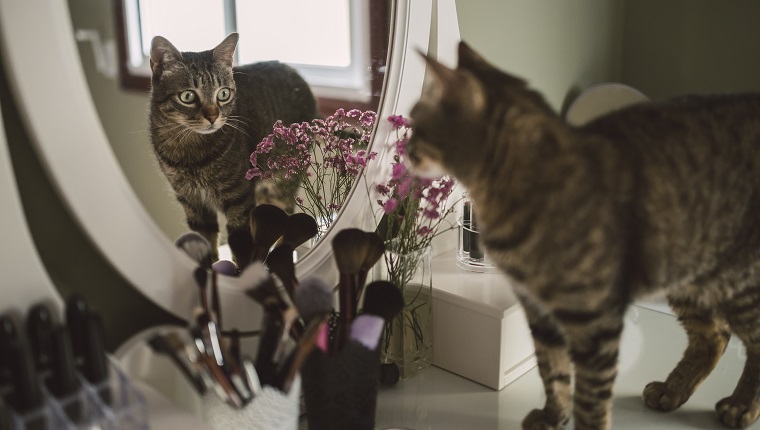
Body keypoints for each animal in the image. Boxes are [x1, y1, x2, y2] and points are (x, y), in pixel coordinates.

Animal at [150, 33, 316, 260]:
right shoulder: (192, 203)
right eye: (187, 96)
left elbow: (240, 245)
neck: (190, 152)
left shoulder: (239, 197)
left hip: (282, 184)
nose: (213, 116)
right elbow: (205, 245)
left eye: (223, 94)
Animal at [410, 41, 760, 430]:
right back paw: (673, 390)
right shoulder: (540, 312)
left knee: (754, 342)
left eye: (415, 122)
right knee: (714, 334)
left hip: (739, 282)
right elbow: (553, 372)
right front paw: (553, 415)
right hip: (686, 268)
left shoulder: (597, 322)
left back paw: (742, 406)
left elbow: (591, 399)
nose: (406, 148)